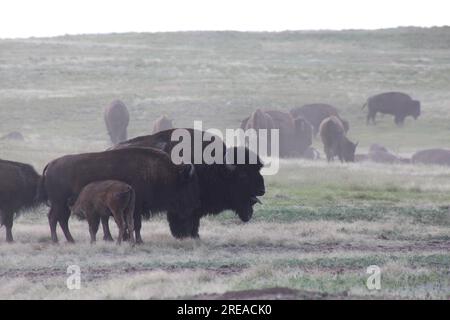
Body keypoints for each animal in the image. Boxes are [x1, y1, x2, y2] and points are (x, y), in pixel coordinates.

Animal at [37, 148, 200, 242]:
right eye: (185, 185)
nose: (192, 205)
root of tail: (50, 165)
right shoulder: (136, 207)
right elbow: (136, 224)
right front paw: (138, 241)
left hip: (63, 205)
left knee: (60, 220)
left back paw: (69, 240)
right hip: (59, 203)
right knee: (55, 218)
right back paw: (57, 240)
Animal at [114, 128, 266, 238]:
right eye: (243, 175)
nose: (262, 190)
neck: (215, 167)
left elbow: (194, 221)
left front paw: (194, 235)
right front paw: (184, 235)